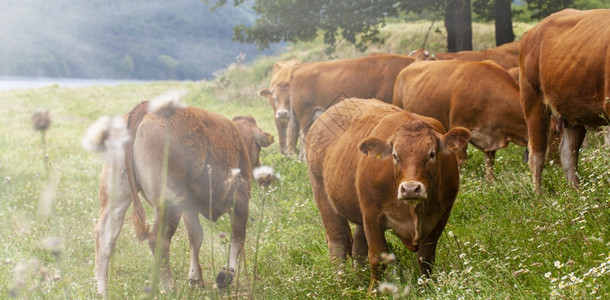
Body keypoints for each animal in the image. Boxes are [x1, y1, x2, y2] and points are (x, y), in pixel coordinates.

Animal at [94, 101, 272, 296]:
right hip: (168, 202)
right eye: (258, 146)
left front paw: (195, 278)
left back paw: (102, 291)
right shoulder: (240, 199)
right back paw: (170, 287)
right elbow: (238, 237)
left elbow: (196, 236)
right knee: (158, 241)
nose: (265, 177)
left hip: (116, 198)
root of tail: (146, 108)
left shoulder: (189, 207)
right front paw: (226, 274)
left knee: (105, 238)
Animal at [304, 98, 470, 290]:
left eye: (432, 154)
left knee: (358, 245)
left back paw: (360, 280)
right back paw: (343, 285)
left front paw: (427, 288)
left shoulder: (441, 216)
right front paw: (374, 292)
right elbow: (377, 258)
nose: (411, 188)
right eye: (395, 155)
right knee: (338, 241)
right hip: (323, 196)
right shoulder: (372, 216)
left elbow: (426, 258)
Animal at [516, 9, 608, 191]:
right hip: (533, 101)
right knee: (536, 154)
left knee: (568, 152)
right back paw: (539, 195)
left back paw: (575, 192)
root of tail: (531, 31)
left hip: (573, 111)